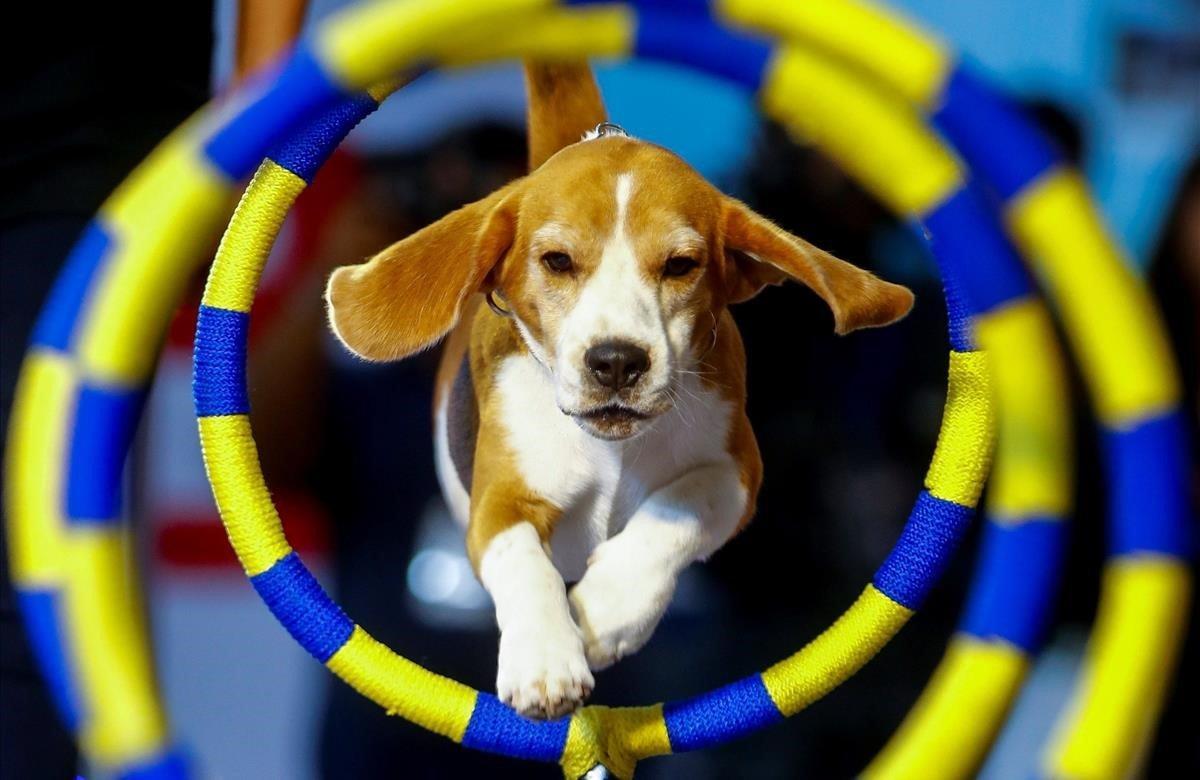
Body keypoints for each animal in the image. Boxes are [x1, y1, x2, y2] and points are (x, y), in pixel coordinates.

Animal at [324, 63, 912, 720]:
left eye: (681, 265)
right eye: (556, 261)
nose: (616, 362)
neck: (610, 447)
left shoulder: (738, 473)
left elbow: (678, 508)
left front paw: (609, 609)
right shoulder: (499, 504)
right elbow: (522, 560)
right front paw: (545, 660)